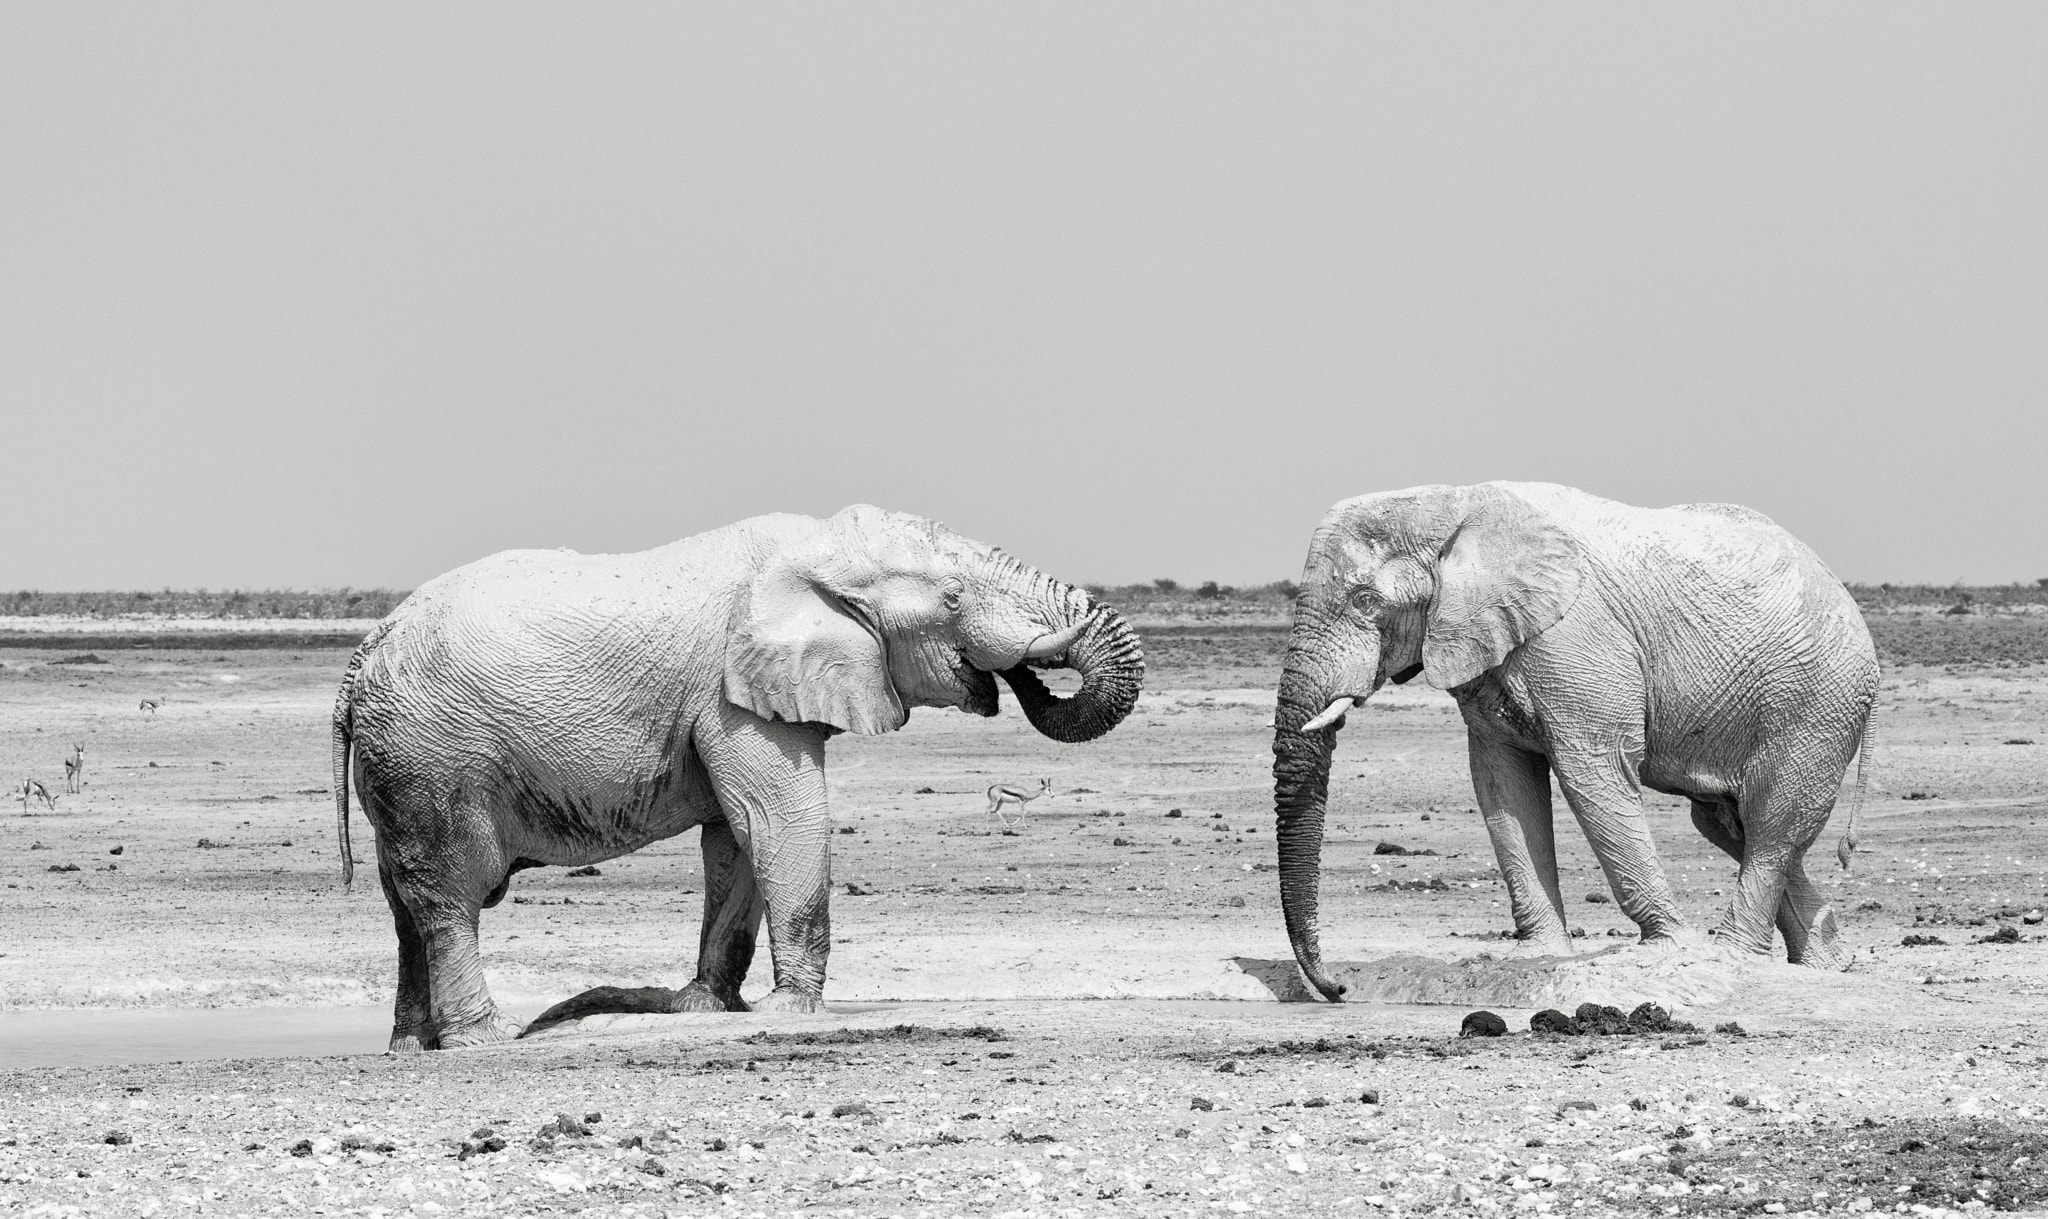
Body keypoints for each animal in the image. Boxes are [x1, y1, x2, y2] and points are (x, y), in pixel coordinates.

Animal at [327, 506, 1146, 1048]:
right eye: (952, 599)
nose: (1021, 673)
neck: (816, 548)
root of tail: (362, 655)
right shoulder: (733, 695)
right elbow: (781, 820)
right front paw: (791, 1013)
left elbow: (736, 840)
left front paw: (710, 1009)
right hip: (434, 754)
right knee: (449, 894)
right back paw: (488, 1040)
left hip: (398, 759)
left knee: (403, 903)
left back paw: (413, 1048)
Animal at [1269, 479, 1875, 999]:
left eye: (1366, 602)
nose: (1338, 988)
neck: (1451, 501)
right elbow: (1503, 784)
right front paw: (1536, 955)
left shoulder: (1573, 635)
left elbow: (1594, 769)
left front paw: (1667, 951)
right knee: (1732, 824)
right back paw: (1829, 965)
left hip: (1816, 705)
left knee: (1771, 824)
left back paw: (1731, 957)